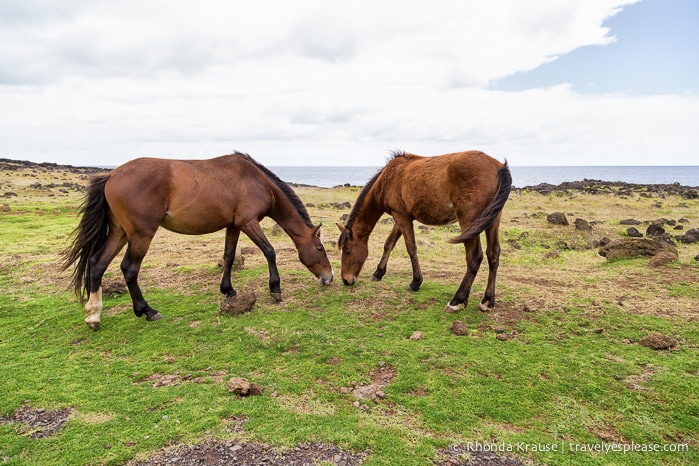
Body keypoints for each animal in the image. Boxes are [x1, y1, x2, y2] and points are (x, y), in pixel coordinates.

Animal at [61, 151, 334, 330]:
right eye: (320, 248)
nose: (329, 278)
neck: (256, 181)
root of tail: (111, 175)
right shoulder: (249, 223)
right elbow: (270, 251)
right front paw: (275, 289)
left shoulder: (233, 226)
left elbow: (229, 256)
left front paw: (228, 290)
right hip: (140, 234)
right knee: (129, 269)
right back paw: (147, 311)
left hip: (120, 233)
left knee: (97, 264)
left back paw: (94, 316)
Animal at [336, 151, 512, 314]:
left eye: (348, 251)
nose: (346, 280)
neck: (387, 180)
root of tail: (498, 167)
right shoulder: (401, 218)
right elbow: (389, 244)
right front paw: (379, 272)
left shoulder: (401, 217)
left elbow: (411, 248)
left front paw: (415, 282)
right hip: (492, 220)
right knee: (493, 254)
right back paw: (487, 301)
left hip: (468, 220)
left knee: (474, 257)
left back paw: (456, 300)